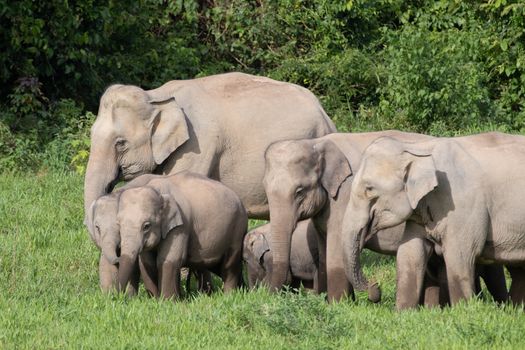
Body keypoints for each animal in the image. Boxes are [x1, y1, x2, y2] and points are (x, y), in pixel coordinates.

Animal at [342, 133, 520, 308]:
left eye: (369, 189)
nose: (375, 286)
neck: (418, 148)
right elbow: (410, 253)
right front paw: (403, 312)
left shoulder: (464, 205)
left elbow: (461, 255)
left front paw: (464, 310)